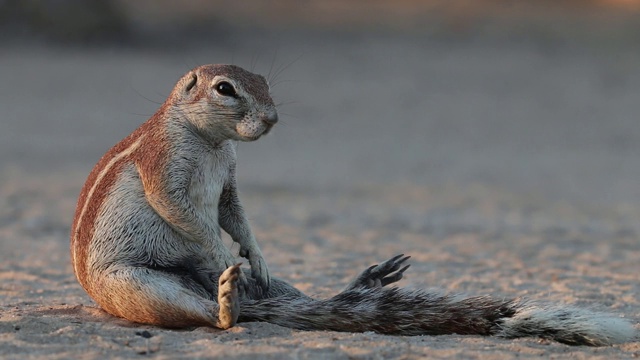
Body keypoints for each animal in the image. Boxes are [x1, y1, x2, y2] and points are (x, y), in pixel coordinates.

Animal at [71, 64, 636, 346]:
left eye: (266, 82)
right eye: (226, 89)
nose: (273, 119)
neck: (209, 140)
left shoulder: (229, 178)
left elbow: (235, 213)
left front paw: (255, 253)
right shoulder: (164, 164)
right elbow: (181, 210)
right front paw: (223, 252)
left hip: (271, 287)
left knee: (301, 298)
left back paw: (358, 283)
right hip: (131, 283)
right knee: (201, 315)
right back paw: (228, 298)